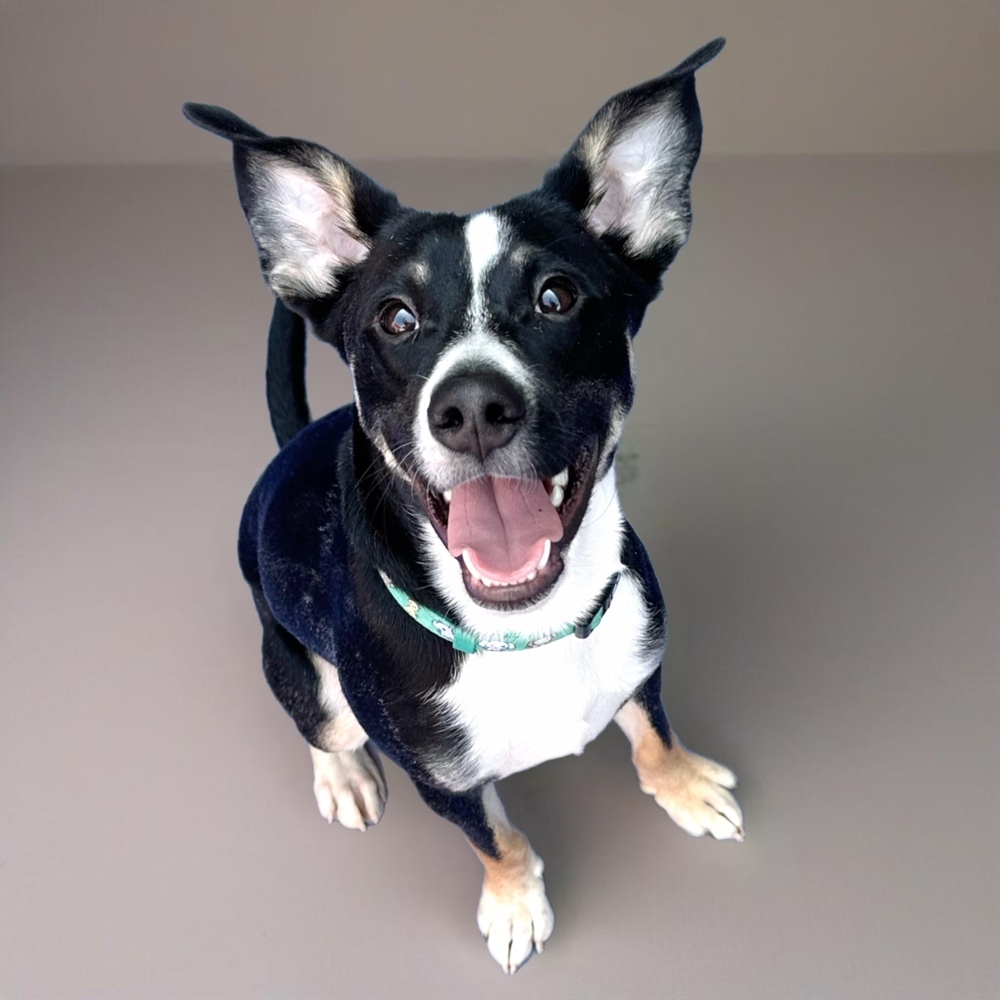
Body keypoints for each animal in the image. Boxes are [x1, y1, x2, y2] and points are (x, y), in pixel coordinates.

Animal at [186, 37, 744, 968]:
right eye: (396, 318)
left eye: (556, 296)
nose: (474, 407)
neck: (527, 634)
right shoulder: (440, 781)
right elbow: (498, 839)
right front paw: (515, 907)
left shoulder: (643, 656)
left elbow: (654, 730)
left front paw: (686, 785)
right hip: (299, 671)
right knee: (319, 724)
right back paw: (343, 773)